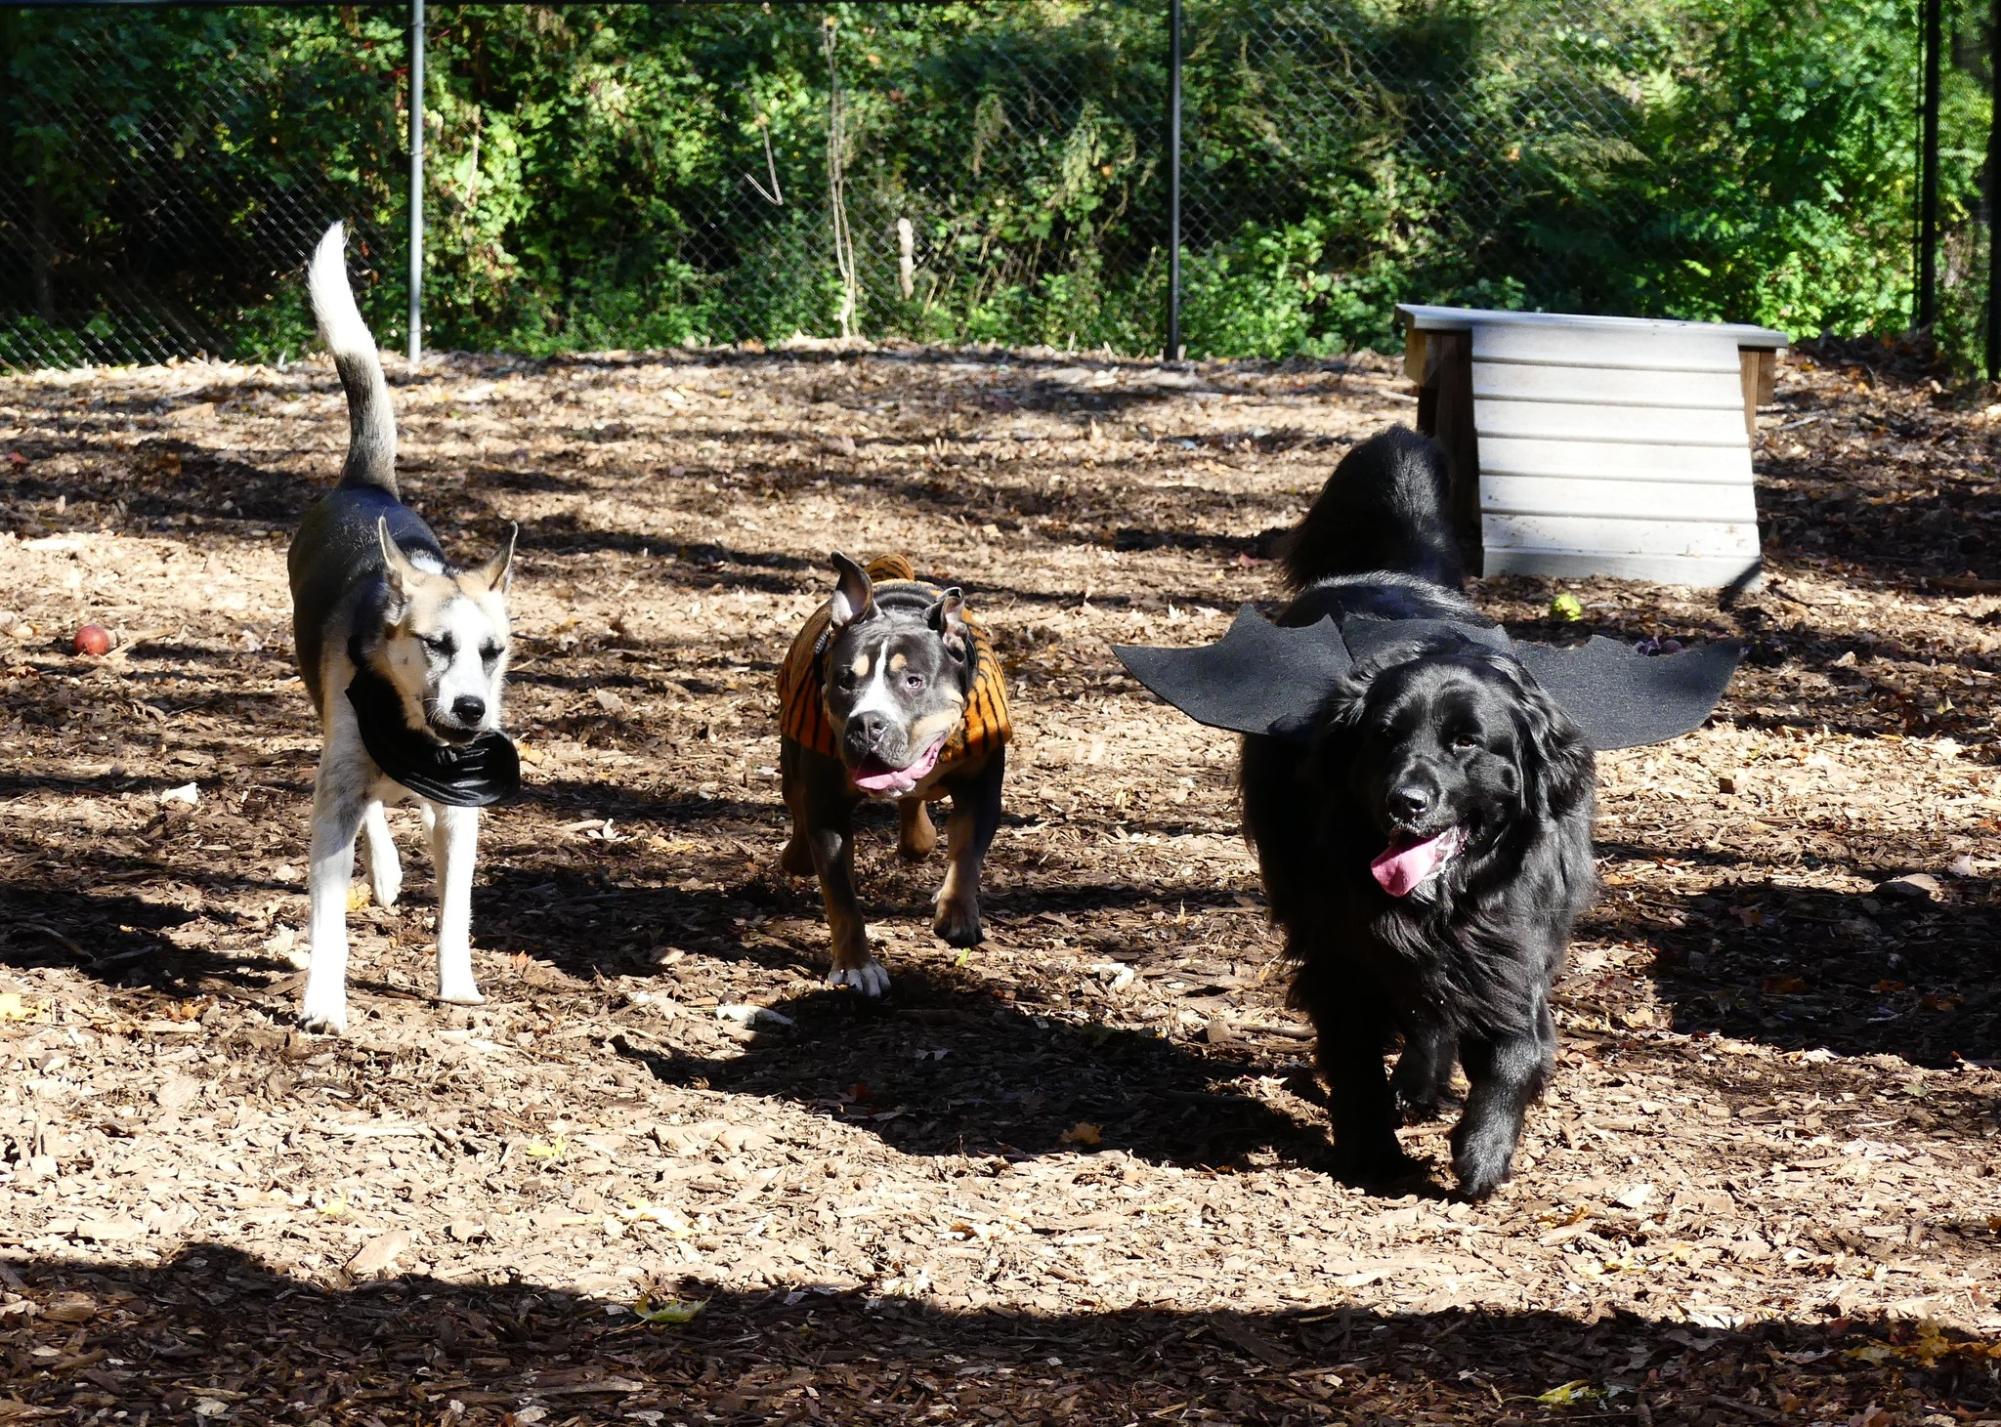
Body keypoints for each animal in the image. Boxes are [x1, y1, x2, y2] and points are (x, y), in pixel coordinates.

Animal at [292, 217, 528, 1032]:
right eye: (435, 645)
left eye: (494, 653)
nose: (472, 710)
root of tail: (367, 485)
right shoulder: (334, 798)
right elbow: (329, 915)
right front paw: (324, 1004)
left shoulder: (460, 818)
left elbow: (455, 911)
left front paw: (456, 986)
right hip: (330, 729)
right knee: (367, 810)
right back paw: (387, 867)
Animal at [1232, 428, 1592, 1192]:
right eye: (1385, 738)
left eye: (1466, 741)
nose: (1407, 801)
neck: (1445, 900)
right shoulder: (1339, 949)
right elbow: (1354, 1057)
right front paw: (1374, 1154)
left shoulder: (1515, 943)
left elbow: (1518, 1043)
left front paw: (1483, 1148)